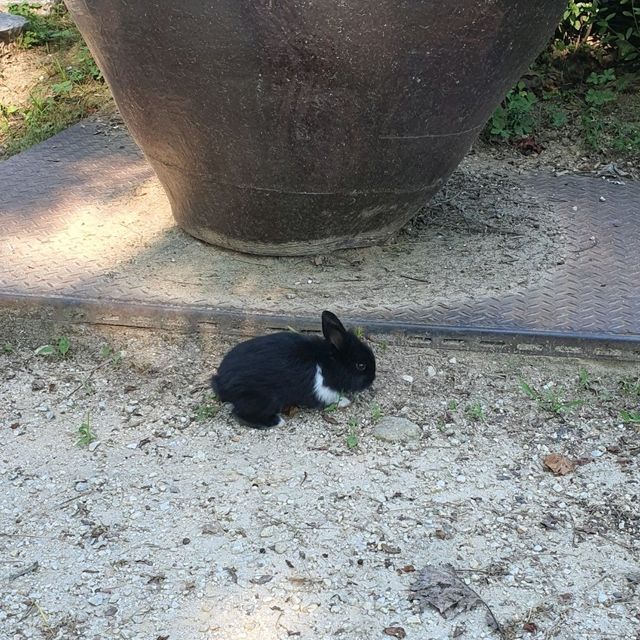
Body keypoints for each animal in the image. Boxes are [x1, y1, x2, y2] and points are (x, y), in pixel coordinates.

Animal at [212, 312, 378, 430]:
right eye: (361, 366)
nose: (372, 378)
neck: (327, 362)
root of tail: (220, 383)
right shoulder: (320, 389)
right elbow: (331, 398)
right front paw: (345, 401)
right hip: (264, 399)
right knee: (240, 414)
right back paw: (277, 422)